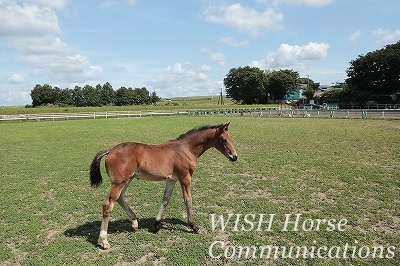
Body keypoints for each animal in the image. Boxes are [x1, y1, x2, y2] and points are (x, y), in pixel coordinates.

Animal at [89, 122, 236, 249]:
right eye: (224, 140)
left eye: (230, 138)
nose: (234, 156)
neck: (186, 149)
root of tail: (110, 150)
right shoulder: (185, 178)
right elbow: (188, 200)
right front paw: (194, 226)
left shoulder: (172, 180)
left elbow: (165, 199)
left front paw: (157, 225)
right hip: (119, 182)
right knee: (108, 204)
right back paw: (104, 241)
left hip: (127, 180)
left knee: (120, 198)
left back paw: (135, 222)